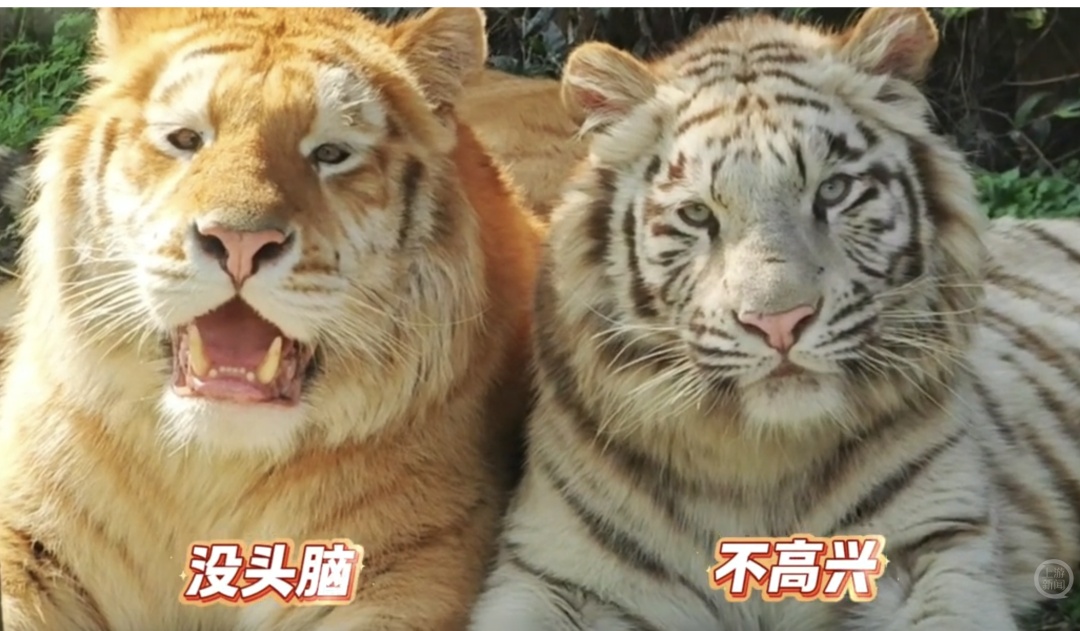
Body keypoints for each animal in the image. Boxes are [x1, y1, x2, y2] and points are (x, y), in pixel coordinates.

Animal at [0, 7, 543, 631]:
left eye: (330, 153)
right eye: (186, 140)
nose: (238, 241)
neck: (213, 466)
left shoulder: (406, 574)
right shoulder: (26, 538)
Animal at [467, 7, 1080, 631]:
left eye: (833, 190)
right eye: (697, 214)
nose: (780, 323)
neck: (758, 462)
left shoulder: (932, 546)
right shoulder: (558, 574)